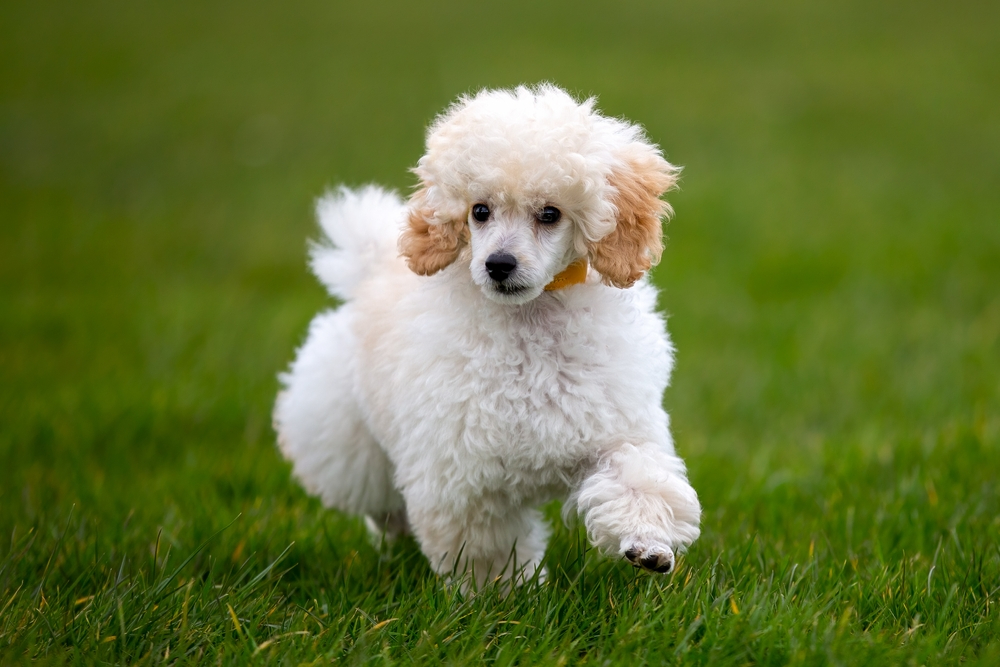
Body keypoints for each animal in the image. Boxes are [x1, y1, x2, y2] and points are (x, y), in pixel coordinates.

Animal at [274, 83, 704, 588]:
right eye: (479, 211)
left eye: (550, 214)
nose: (499, 264)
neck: (529, 322)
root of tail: (370, 273)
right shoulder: (465, 473)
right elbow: (486, 545)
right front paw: (503, 594)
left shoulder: (614, 427)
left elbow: (638, 473)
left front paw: (648, 543)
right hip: (347, 431)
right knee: (376, 494)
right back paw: (393, 527)